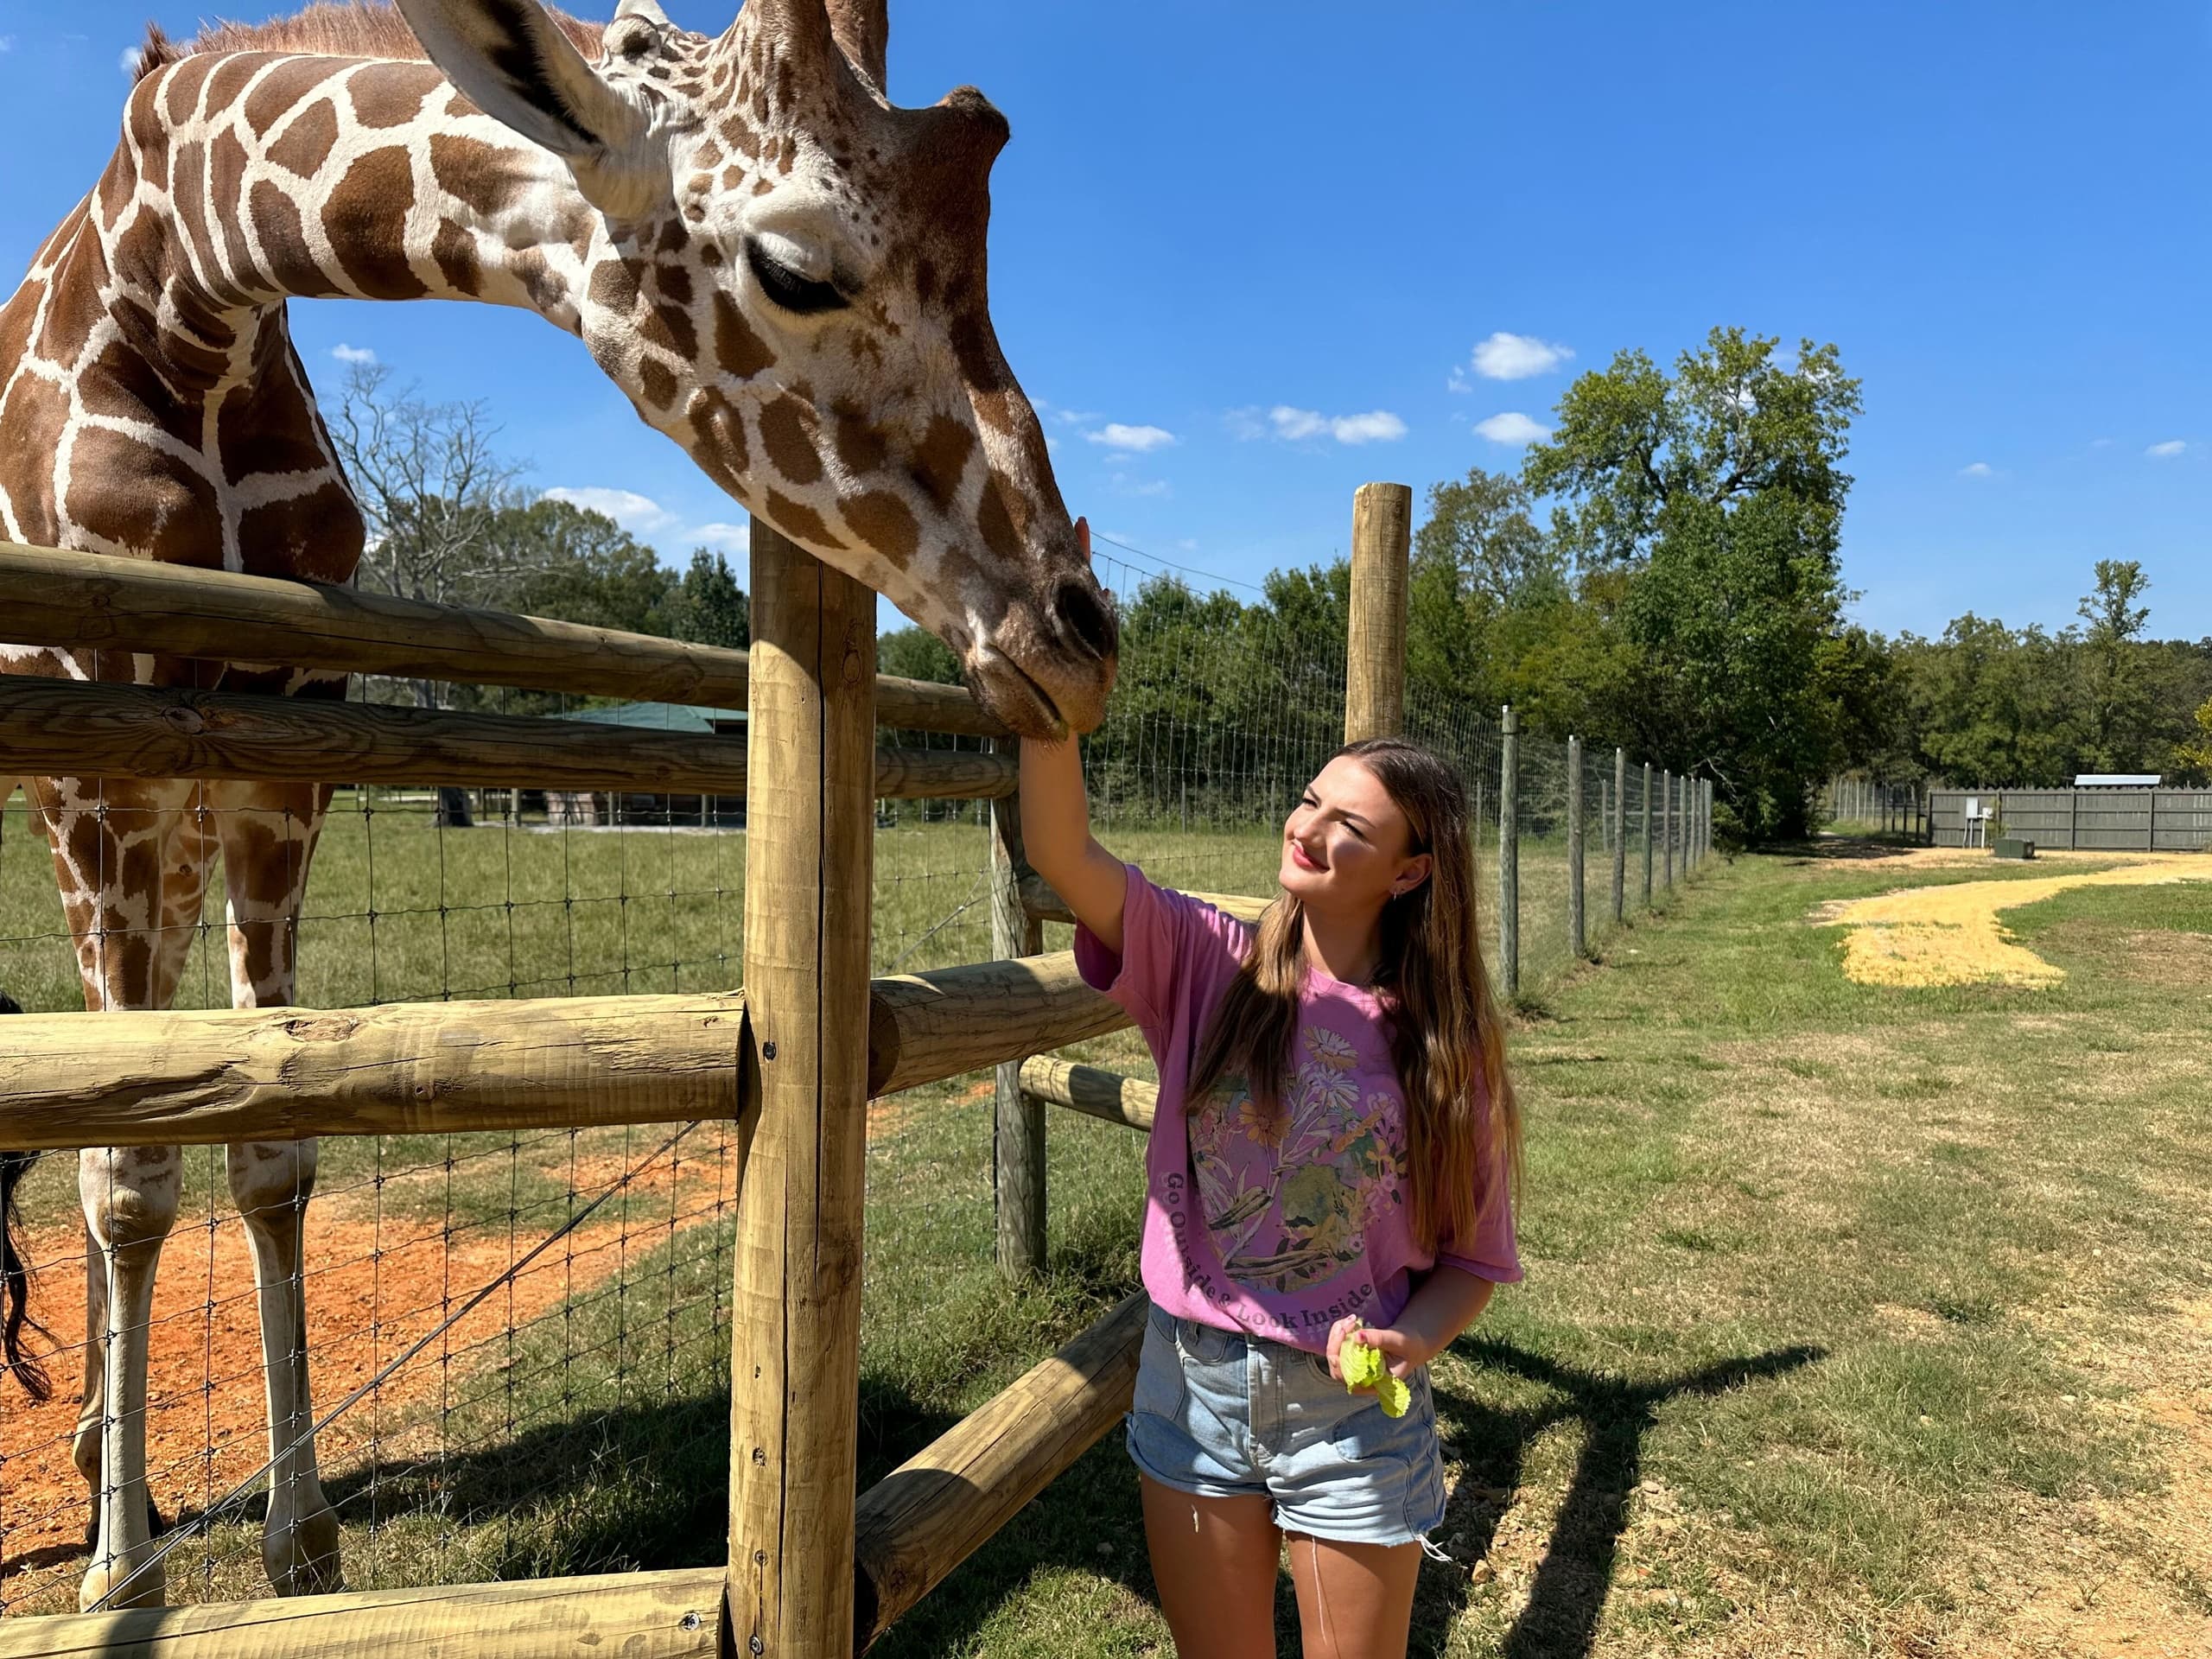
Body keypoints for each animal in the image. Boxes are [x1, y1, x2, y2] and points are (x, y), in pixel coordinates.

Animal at [0, 0, 1116, 1610]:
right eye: (797, 268)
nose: (1075, 638)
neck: (186, 280)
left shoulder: (286, 740)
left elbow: (268, 1133)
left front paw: (300, 1537)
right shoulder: (103, 734)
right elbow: (130, 1163)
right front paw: (121, 1583)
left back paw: (107, 1445)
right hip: (78, 790)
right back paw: (109, 1484)